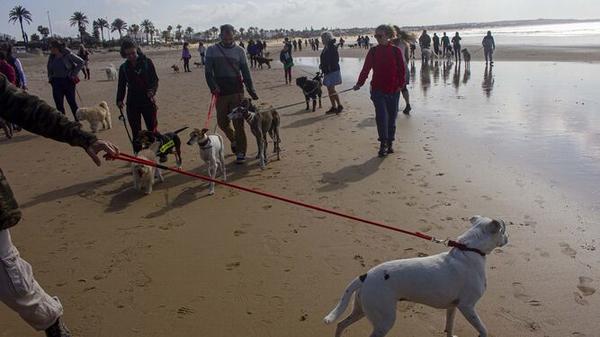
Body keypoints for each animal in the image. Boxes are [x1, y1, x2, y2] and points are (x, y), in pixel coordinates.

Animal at [326, 215, 508, 336]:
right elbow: (483, 329)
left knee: (341, 324)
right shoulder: (467, 307)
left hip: (362, 310)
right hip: (384, 319)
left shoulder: (453, 307)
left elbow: (449, 326)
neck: (469, 250)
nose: (508, 238)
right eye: (503, 230)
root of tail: (365, 276)